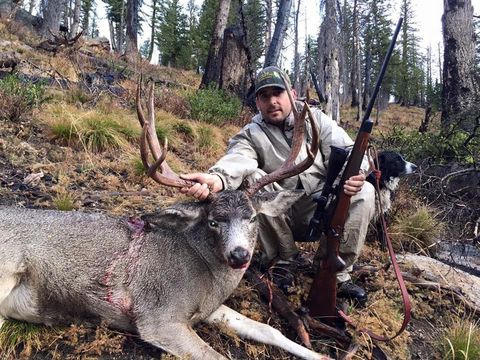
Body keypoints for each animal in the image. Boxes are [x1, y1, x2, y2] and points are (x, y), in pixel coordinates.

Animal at [0, 80, 328, 358]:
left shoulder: (208, 308)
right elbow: (216, 355)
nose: (239, 255)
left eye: (252, 219)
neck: (207, 277)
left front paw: (321, 354)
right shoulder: (159, 316)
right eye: (213, 221)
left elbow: (267, 328)